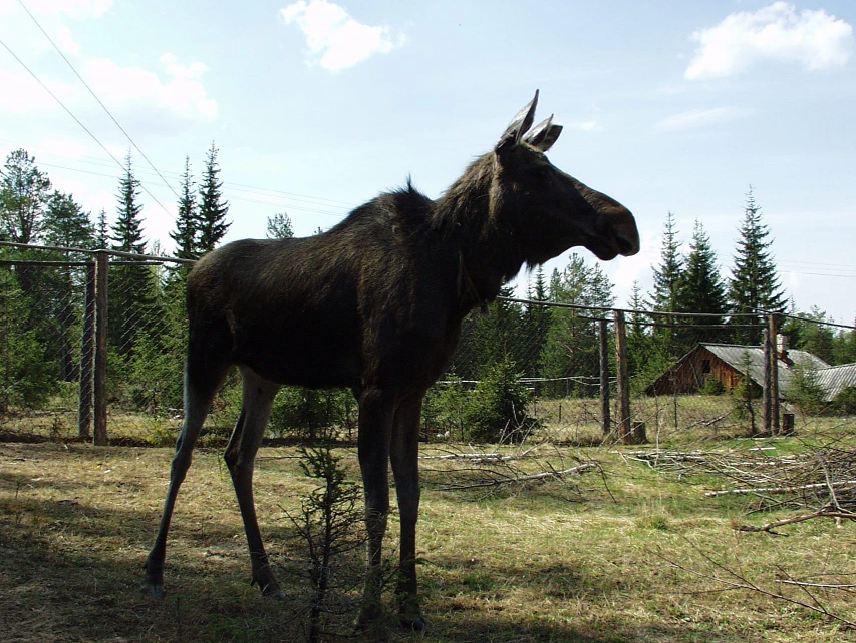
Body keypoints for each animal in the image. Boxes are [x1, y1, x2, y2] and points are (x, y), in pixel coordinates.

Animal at [144, 90, 640, 632]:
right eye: (540, 172)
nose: (626, 223)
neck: (459, 274)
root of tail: (193, 272)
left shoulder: (414, 389)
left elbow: (412, 497)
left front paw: (411, 608)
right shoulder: (376, 387)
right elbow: (377, 504)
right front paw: (368, 612)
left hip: (262, 376)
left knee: (238, 455)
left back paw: (266, 577)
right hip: (204, 355)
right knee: (182, 453)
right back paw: (154, 571)